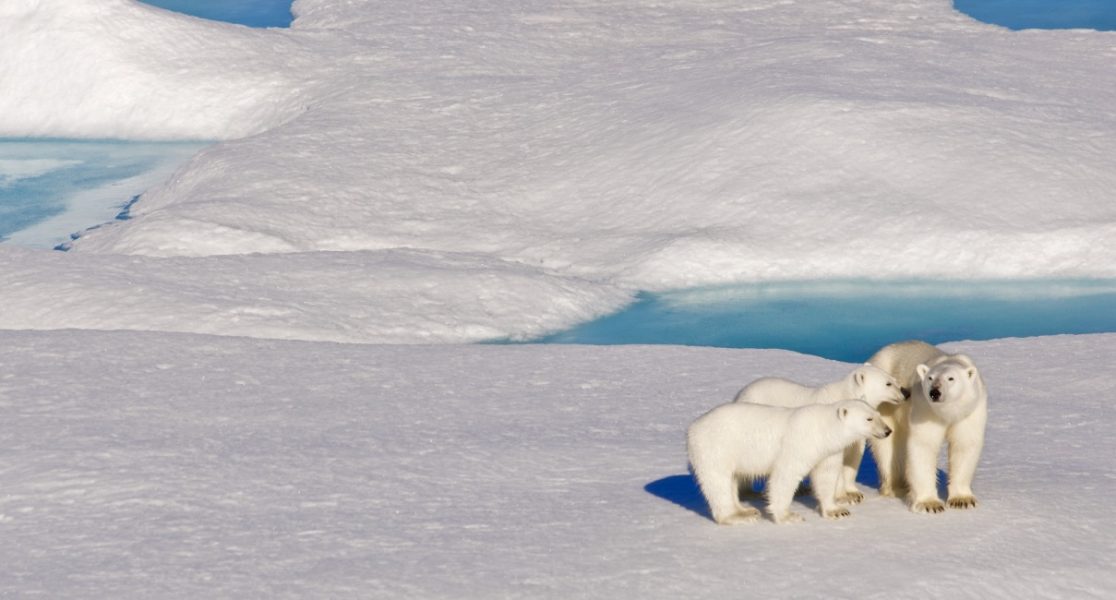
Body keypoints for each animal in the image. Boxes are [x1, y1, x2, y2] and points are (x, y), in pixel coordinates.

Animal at [866, 339, 991, 510]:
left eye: (951, 378)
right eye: (930, 378)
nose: (935, 392)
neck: (947, 412)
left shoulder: (970, 410)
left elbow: (964, 444)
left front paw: (962, 500)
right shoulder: (924, 407)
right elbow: (924, 445)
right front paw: (930, 504)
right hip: (886, 404)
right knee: (888, 447)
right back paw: (895, 488)